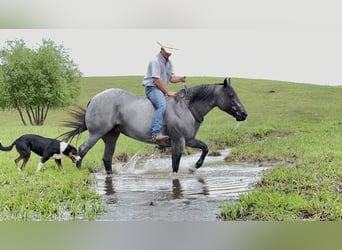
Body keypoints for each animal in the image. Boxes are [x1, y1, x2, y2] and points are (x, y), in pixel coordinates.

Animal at [60, 78, 247, 174]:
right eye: (231, 95)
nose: (244, 114)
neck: (186, 107)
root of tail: (94, 99)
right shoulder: (178, 141)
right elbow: (175, 165)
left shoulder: (189, 139)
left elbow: (205, 147)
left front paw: (196, 165)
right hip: (96, 133)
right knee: (82, 149)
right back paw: (78, 171)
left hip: (111, 136)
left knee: (106, 158)